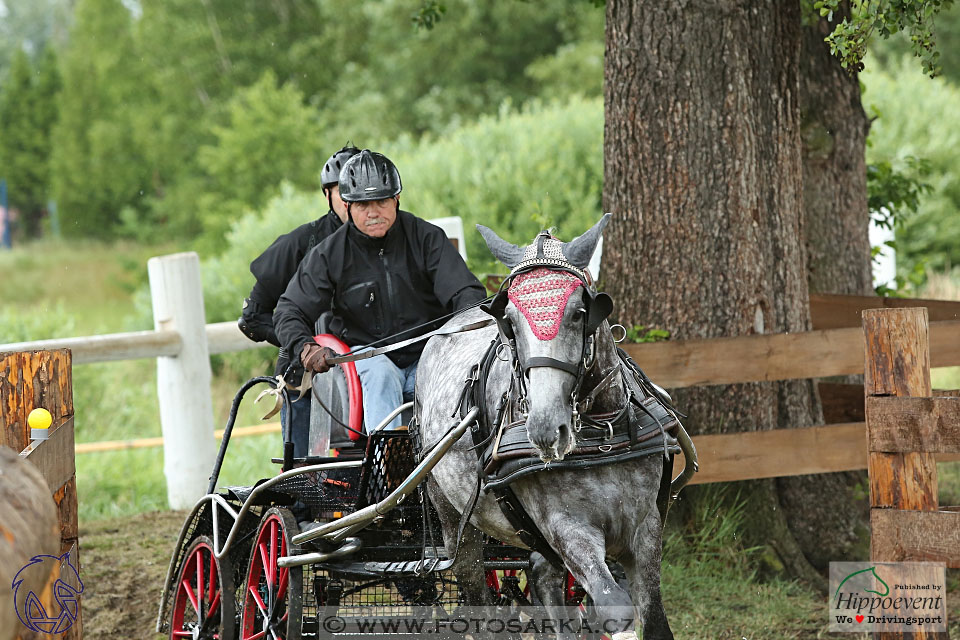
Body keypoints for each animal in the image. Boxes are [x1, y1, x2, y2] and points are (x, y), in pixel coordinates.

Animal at [414, 216, 676, 640]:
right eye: (510, 323)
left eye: (579, 312)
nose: (545, 428)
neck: (601, 437)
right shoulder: (566, 528)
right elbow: (613, 605)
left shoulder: (646, 528)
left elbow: (651, 620)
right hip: (452, 515)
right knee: (473, 580)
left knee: (543, 577)